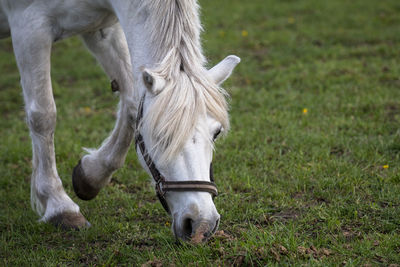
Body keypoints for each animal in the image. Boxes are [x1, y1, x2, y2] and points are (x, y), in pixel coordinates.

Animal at [1, 0, 239, 243]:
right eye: (161, 136)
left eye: (216, 133)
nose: (201, 225)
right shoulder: (29, 26)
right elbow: (43, 115)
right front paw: (58, 205)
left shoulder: (103, 29)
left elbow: (132, 103)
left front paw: (91, 175)